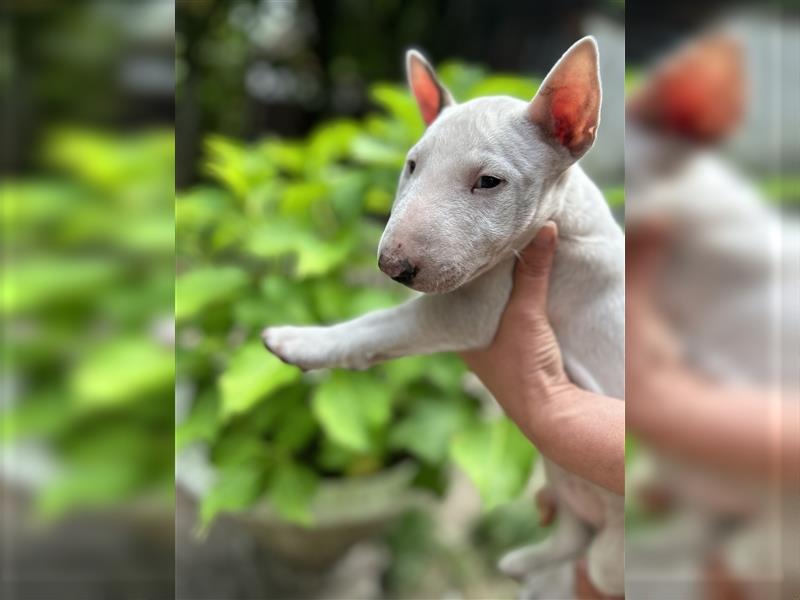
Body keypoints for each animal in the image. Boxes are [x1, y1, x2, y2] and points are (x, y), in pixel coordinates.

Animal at [262, 37, 624, 596]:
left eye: (489, 182)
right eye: (411, 165)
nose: (391, 266)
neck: (563, 215)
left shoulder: (472, 307)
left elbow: (378, 325)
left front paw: (297, 342)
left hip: (616, 541)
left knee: (595, 563)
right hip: (562, 482)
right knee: (572, 532)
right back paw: (523, 562)